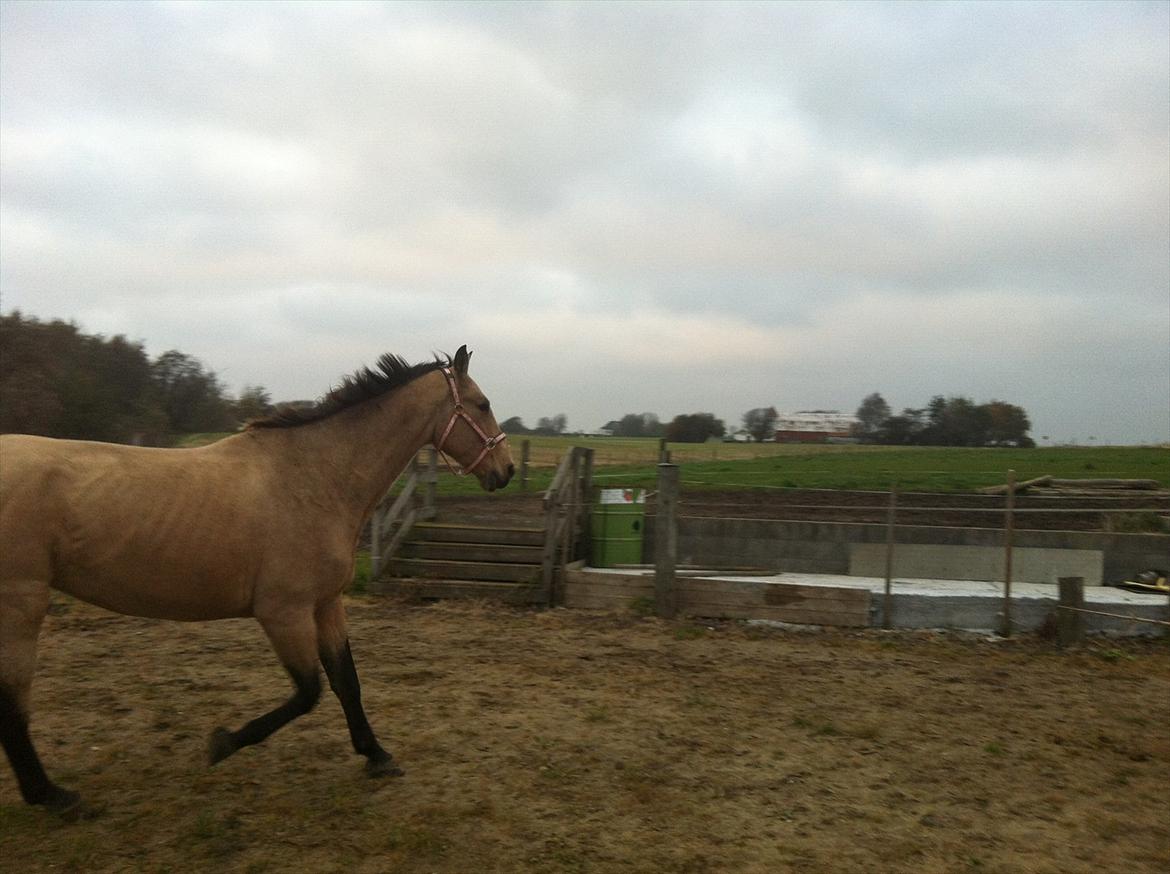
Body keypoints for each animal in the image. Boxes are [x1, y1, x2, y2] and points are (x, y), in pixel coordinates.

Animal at [0, 341, 512, 814]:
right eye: (482, 404)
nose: (505, 471)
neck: (315, 478)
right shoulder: (282, 612)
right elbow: (308, 692)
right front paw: (223, 742)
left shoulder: (326, 604)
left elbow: (347, 682)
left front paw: (377, 755)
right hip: (22, 605)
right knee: (12, 701)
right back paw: (51, 796)